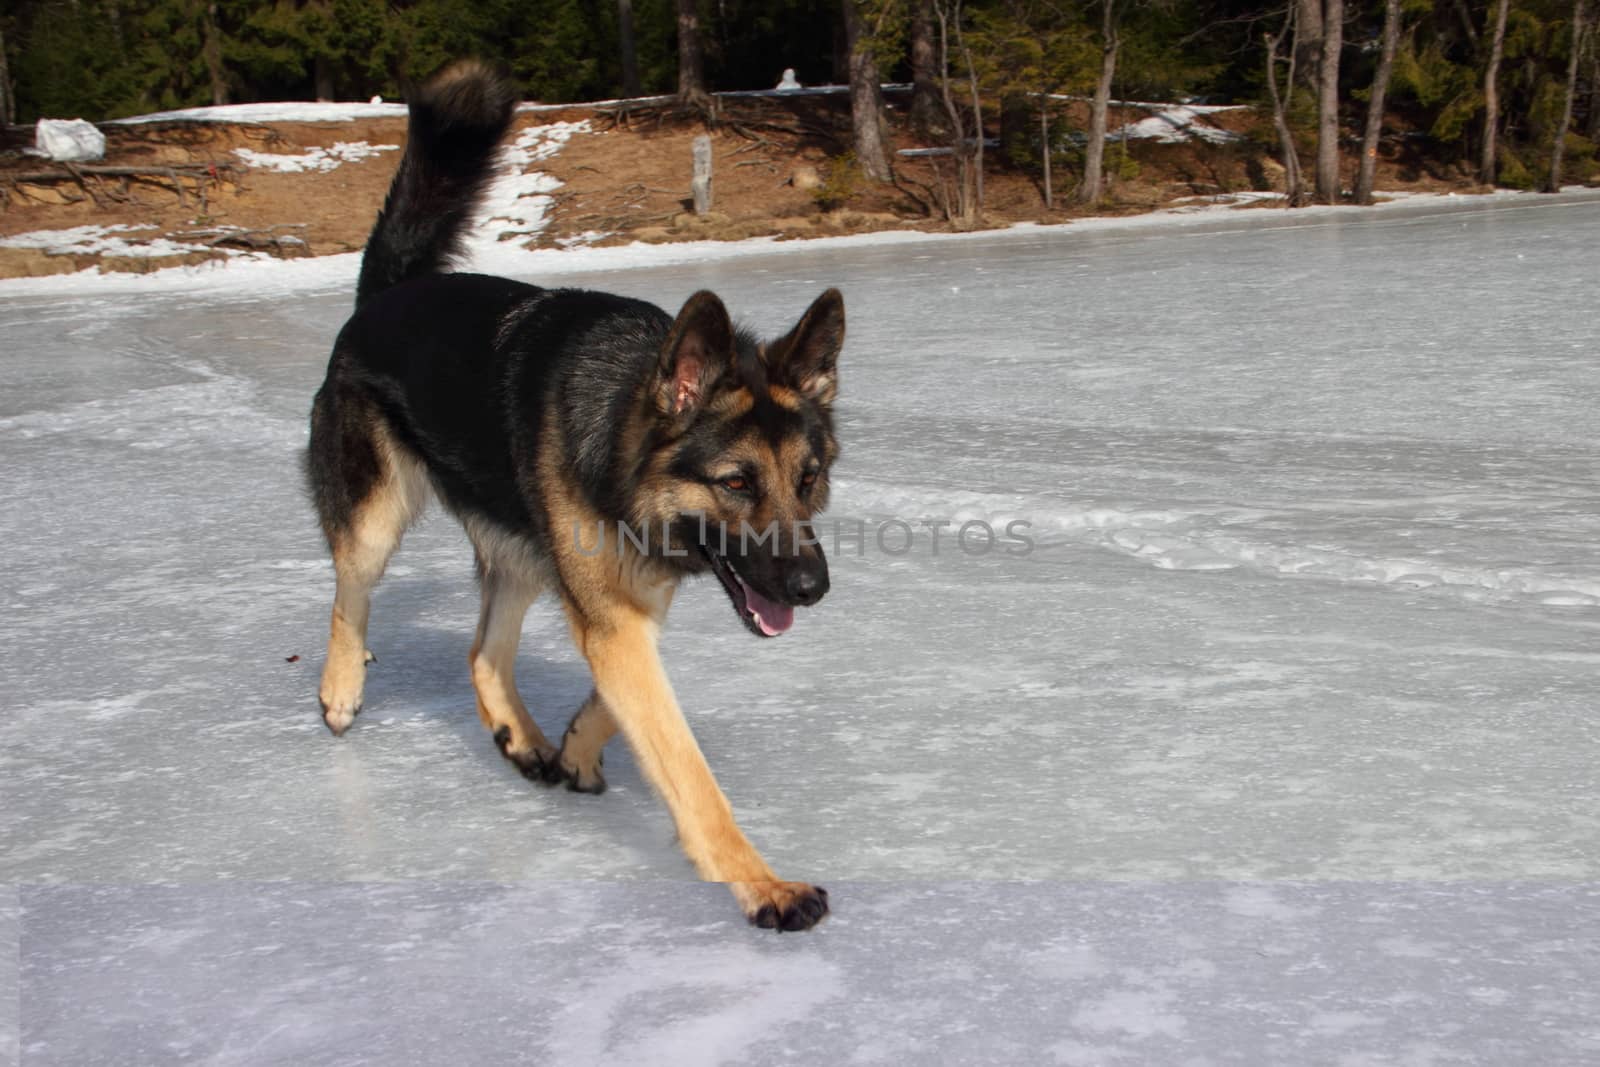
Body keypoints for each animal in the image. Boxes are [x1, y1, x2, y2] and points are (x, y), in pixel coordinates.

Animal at [305, 64, 844, 934]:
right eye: (736, 483)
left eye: (807, 479)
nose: (812, 586)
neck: (623, 443)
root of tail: (386, 292)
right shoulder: (615, 616)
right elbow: (688, 767)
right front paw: (762, 883)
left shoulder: (627, 607)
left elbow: (619, 706)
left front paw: (578, 747)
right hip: (377, 517)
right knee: (348, 593)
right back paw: (341, 688)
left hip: (522, 551)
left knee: (482, 651)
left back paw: (518, 736)